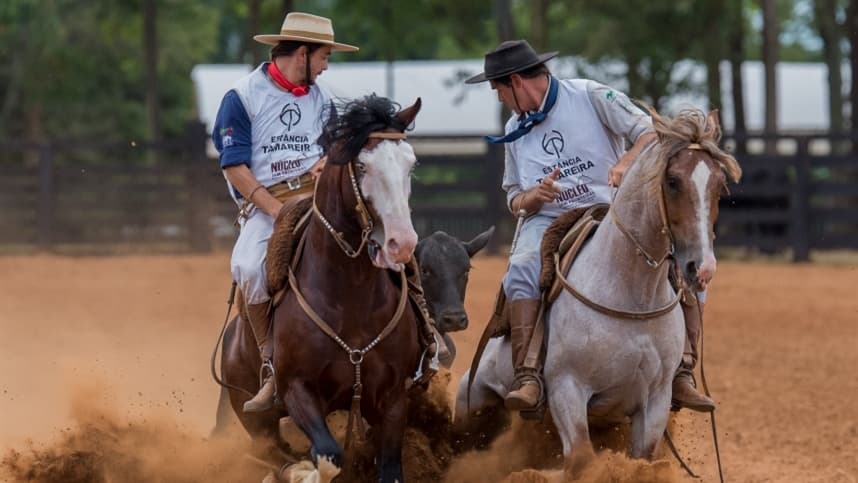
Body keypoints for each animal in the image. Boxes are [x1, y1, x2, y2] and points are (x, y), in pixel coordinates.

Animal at [219, 95, 424, 483]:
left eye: (411, 163)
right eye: (361, 165)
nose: (401, 244)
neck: (351, 300)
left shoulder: (393, 399)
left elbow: (388, 468)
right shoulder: (298, 391)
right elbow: (328, 458)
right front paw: (302, 472)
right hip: (253, 415)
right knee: (271, 450)